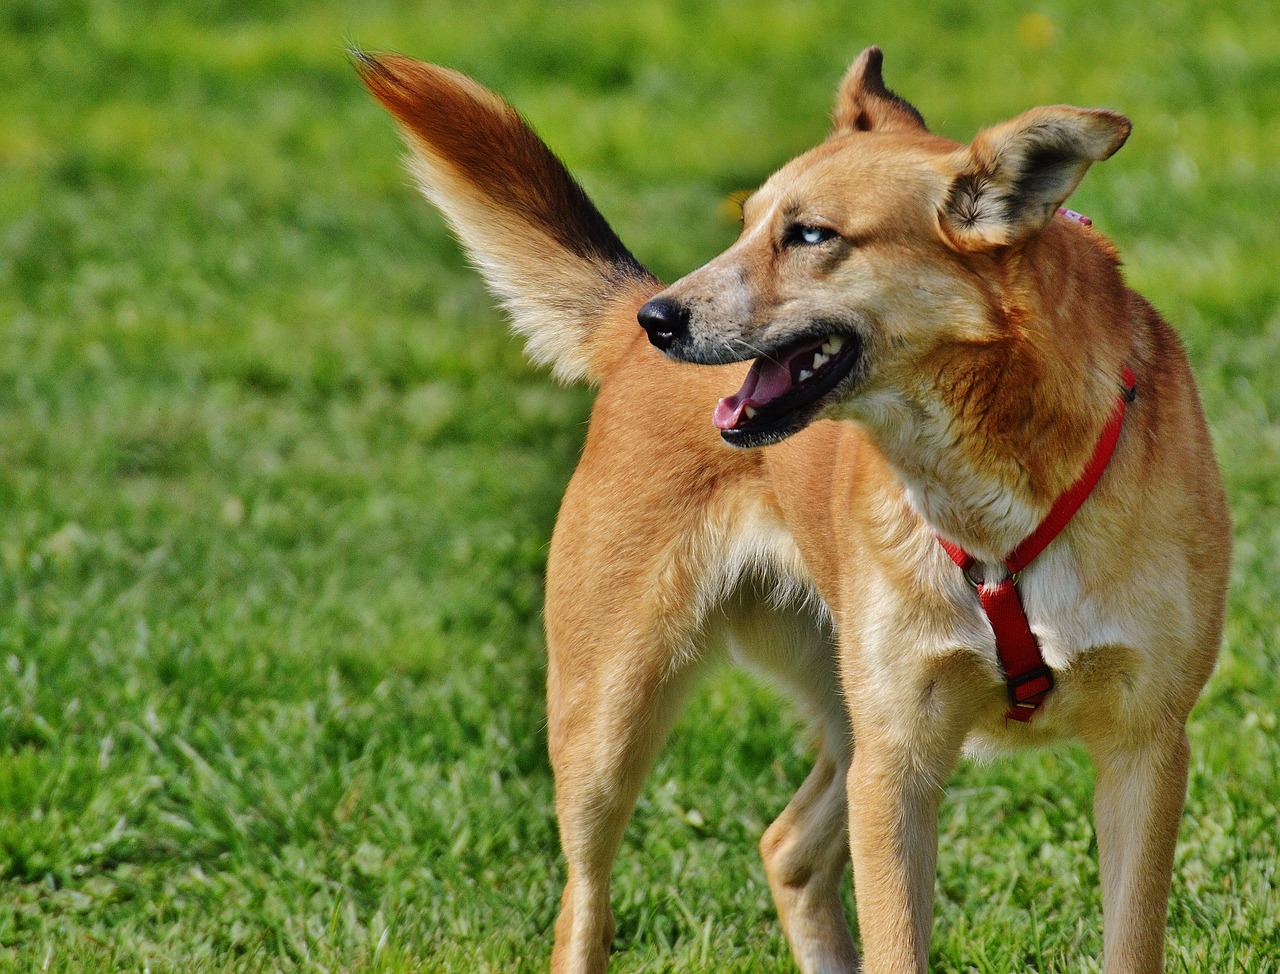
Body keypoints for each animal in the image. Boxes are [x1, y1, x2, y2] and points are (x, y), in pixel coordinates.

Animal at [358, 41, 1228, 967]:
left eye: (811, 235)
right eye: (745, 223)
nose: (660, 318)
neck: (993, 496)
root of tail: (627, 334)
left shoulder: (1143, 751)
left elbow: (1130, 941)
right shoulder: (898, 761)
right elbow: (897, 949)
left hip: (838, 723)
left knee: (787, 847)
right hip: (612, 722)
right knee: (585, 903)